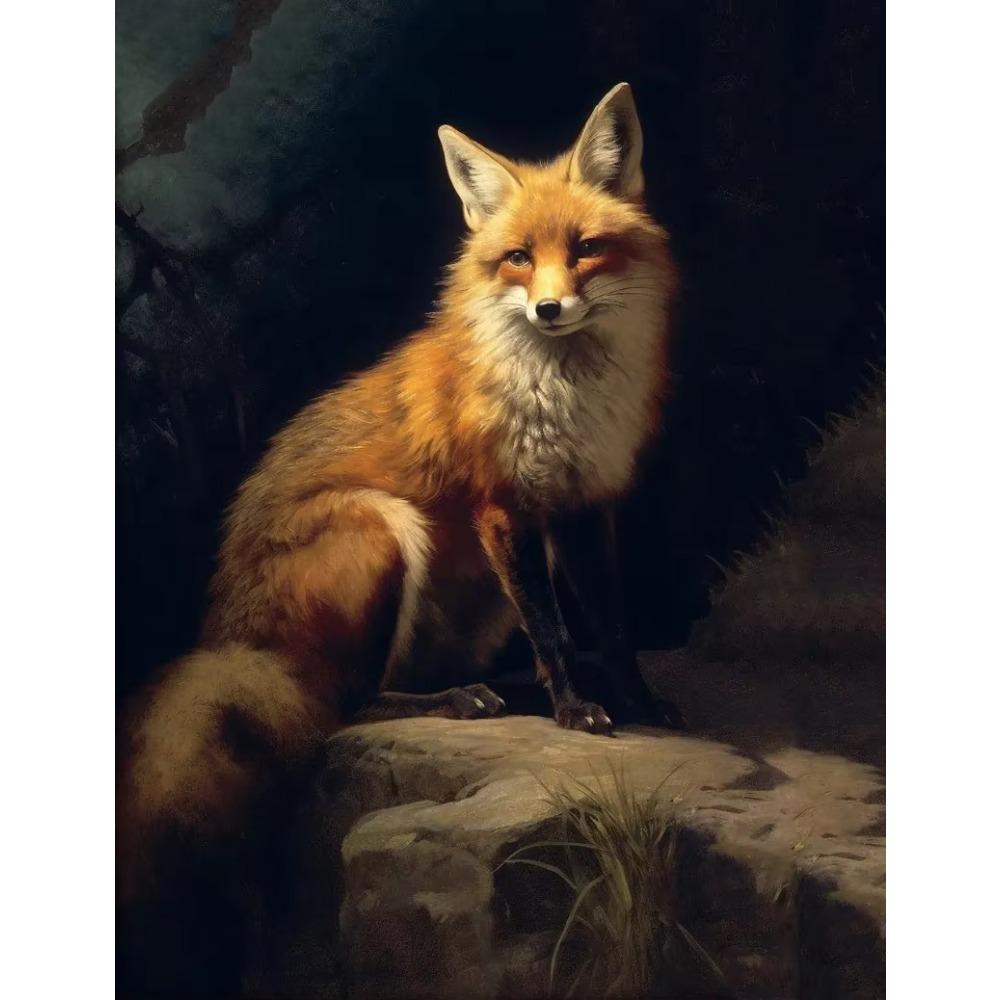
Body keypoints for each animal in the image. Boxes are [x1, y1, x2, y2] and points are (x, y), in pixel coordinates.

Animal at [118, 82, 682, 996]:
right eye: (518, 258)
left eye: (587, 250)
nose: (549, 308)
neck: (561, 393)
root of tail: (228, 639)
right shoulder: (502, 509)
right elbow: (556, 632)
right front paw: (575, 711)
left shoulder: (585, 507)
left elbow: (610, 626)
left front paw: (634, 701)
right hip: (381, 529)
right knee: (340, 709)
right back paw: (455, 702)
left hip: (473, 596)